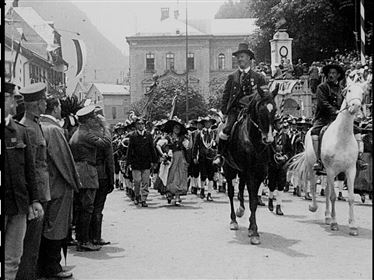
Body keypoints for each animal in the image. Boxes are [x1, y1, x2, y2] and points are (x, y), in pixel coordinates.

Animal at [222, 87, 278, 245]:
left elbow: (253, 201)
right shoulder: (249, 173)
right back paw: (233, 220)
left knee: (240, 188)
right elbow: (251, 199)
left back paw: (241, 209)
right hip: (229, 168)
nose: (268, 139)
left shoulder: (259, 173)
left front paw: (253, 229)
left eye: (275, 110)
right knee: (231, 192)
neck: (253, 141)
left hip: (241, 171)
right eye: (260, 110)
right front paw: (254, 230)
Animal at [290, 79, 368, 236]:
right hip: (313, 167)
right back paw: (314, 206)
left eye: (362, 93)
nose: (355, 106)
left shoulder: (350, 170)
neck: (342, 136)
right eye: (349, 90)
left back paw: (326, 216)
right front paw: (334, 223)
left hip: (327, 172)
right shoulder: (331, 170)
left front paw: (353, 226)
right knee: (313, 186)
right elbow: (332, 196)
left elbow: (350, 197)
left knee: (325, 191)